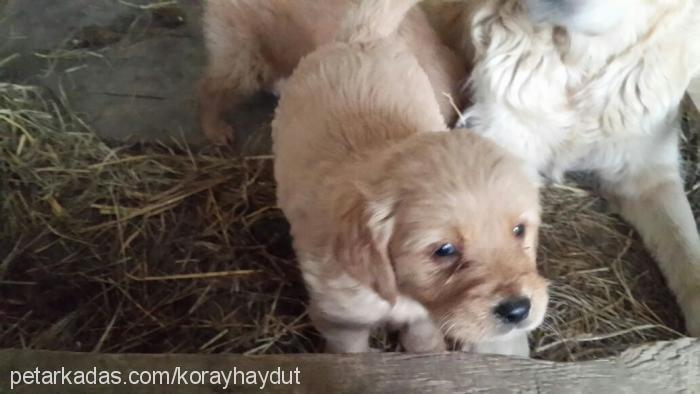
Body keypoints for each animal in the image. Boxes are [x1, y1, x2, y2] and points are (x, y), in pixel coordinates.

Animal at [272, 0, 548, 356]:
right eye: (444, 250)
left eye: (519, 230)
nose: (517, 310)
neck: (401, 293)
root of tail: (360, 38)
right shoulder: (338, 319)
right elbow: (350, 352)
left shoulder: (423, 317)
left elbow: (422, 339)